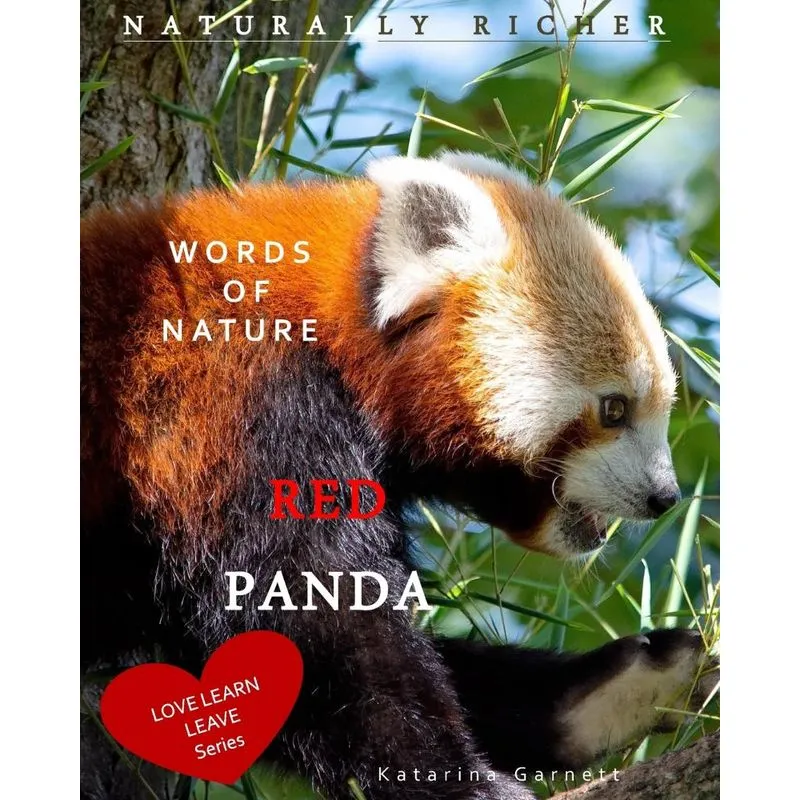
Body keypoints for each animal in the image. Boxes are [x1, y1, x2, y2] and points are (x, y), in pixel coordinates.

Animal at [80, 153, 713, 800]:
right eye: (615, 409)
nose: (664, 497)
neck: (330, 340)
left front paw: (605, 692)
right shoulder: (241, 415)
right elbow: (318, 631)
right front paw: (466, 783)